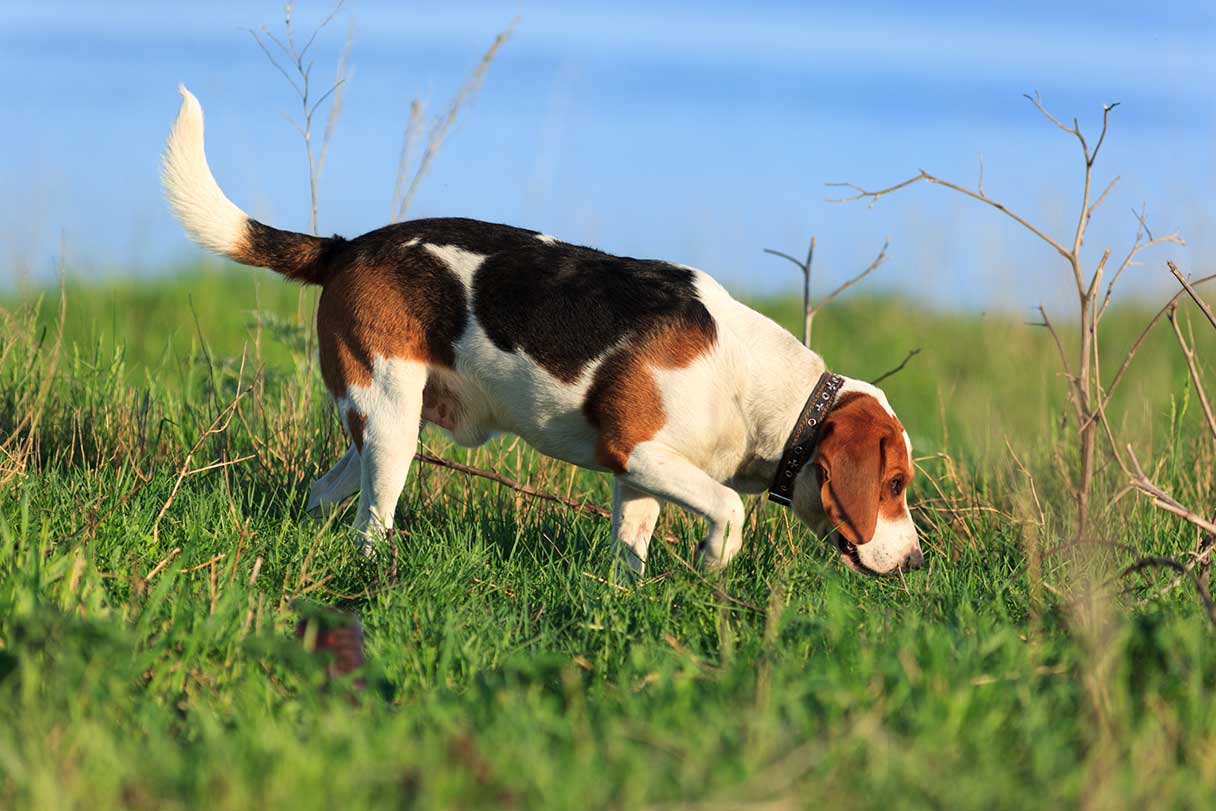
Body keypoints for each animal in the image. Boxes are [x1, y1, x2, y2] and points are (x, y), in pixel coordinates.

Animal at [159, 87, 919, 576]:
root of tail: (351, 246)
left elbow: (630, 550)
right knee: (371, 521)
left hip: (378, 429)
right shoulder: (634, 449)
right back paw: (375, 569)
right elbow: (729, 507)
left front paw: (623, 601)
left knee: (325, 496)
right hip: (391, 418)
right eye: (894, 484)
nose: (915, 560)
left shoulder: (641, 478)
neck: (762, 388)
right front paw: (712, 561)